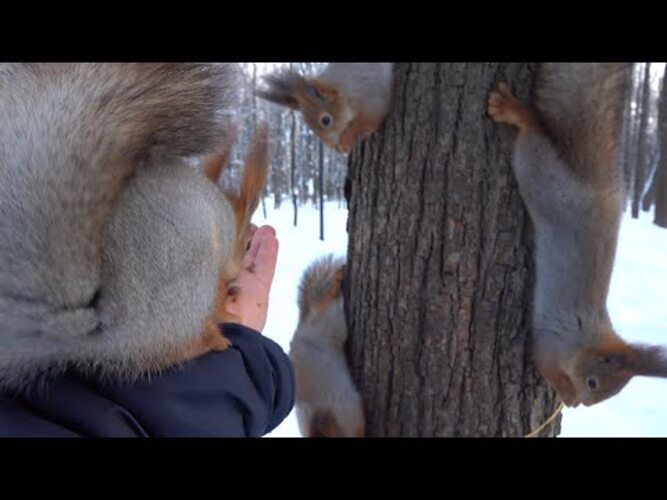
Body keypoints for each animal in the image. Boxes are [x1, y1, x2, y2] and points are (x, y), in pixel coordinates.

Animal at [254, 64, 392, 154]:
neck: (346, 92)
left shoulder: (371, 100)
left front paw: (344, 142)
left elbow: (363, 123)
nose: (333, 147)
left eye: (326, 120)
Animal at [486, 62, 667, 406]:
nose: (579, 403)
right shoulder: (553, 342)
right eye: (593, 383)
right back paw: (513, 111)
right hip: (541, 179)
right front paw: (565, 392)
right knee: (532, 134)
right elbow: (544, 363)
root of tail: (595, 191)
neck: (589, 337)